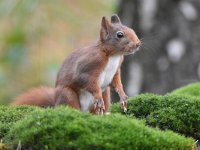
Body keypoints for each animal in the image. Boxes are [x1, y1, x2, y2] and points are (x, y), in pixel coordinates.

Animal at [11, 14, 141, 114]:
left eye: (131, 29)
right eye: (120, 35)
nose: (138, 44)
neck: (113, 56)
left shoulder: (116, 71)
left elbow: (117, 83)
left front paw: (123, 96)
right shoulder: (88, 66)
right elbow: (86, 80)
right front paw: (98, 96)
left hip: (106, 93)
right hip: (67, 95)